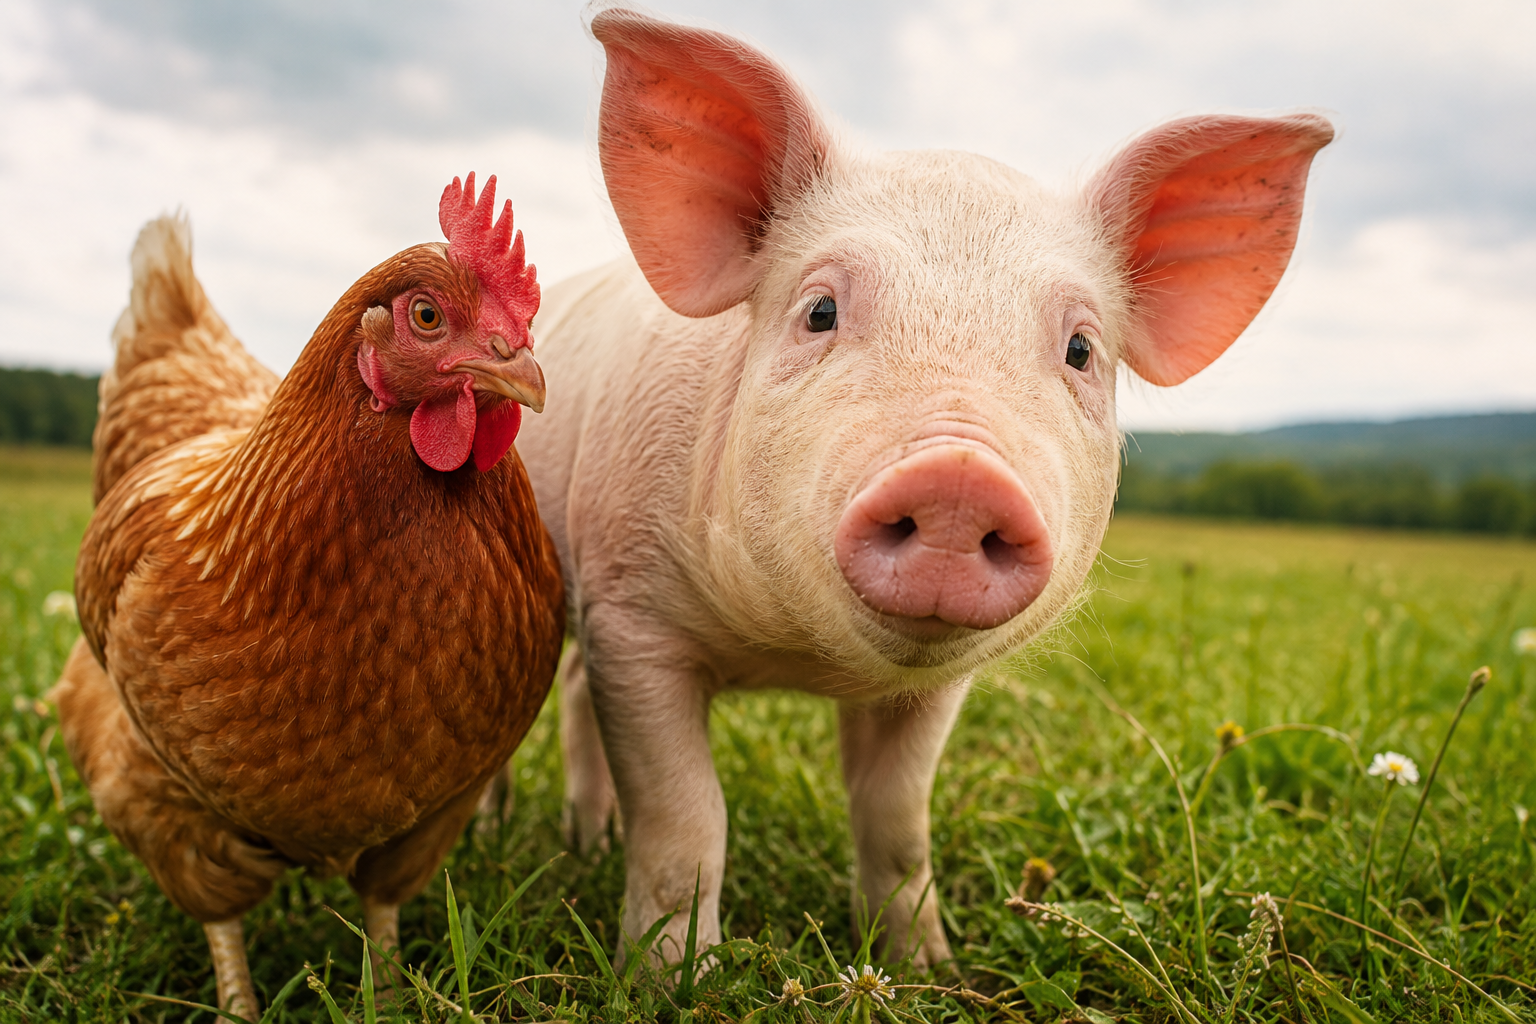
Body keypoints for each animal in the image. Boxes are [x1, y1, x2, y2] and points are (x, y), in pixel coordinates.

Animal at [516, 7, 1333, 968]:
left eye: (1081, 349)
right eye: (820, 311)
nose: (959, 477)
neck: (792, 660)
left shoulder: (935, 691)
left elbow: (897, 820)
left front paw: (929, 969)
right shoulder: (634, 617)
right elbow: (688, 823)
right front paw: (672, 980)